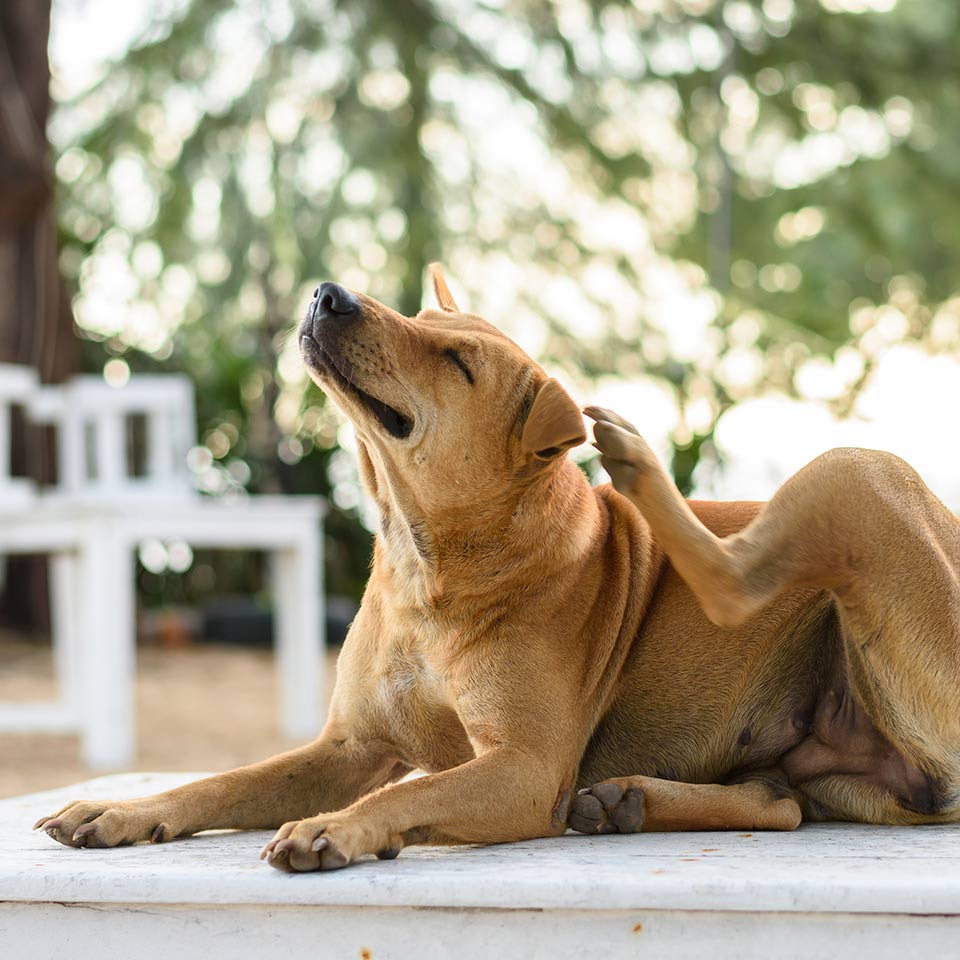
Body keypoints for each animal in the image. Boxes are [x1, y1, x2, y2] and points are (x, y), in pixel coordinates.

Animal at [35, 268, 960, 872]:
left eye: (458, 364)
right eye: (413, 316)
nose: (329, 294)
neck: (426, 564)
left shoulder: (522, 768)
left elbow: (400, 798)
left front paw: (342, 829)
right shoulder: (348, 747)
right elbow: (223, 781)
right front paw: (125, 810)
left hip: (862, 473)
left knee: (740, 582)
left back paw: (636, 460)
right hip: (837, 769)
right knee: (783, 802)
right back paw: (630, 802)